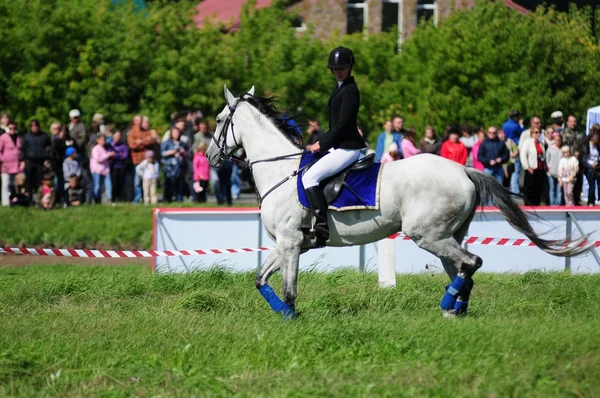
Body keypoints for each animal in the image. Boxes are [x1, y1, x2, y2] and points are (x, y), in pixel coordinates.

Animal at [207, 85, 592, 318]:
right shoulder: (289, 244)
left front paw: (289, 319)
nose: (211, 156)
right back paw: (454, 310)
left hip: (429, 235)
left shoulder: (289, 243)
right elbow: (260, 279)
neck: (281, 168)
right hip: (446, 235)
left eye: (219, 119)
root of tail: (463, 169)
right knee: (463, 268)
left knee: (471, 262)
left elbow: (288, 290)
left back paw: (448, 305)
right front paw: (282, 316)